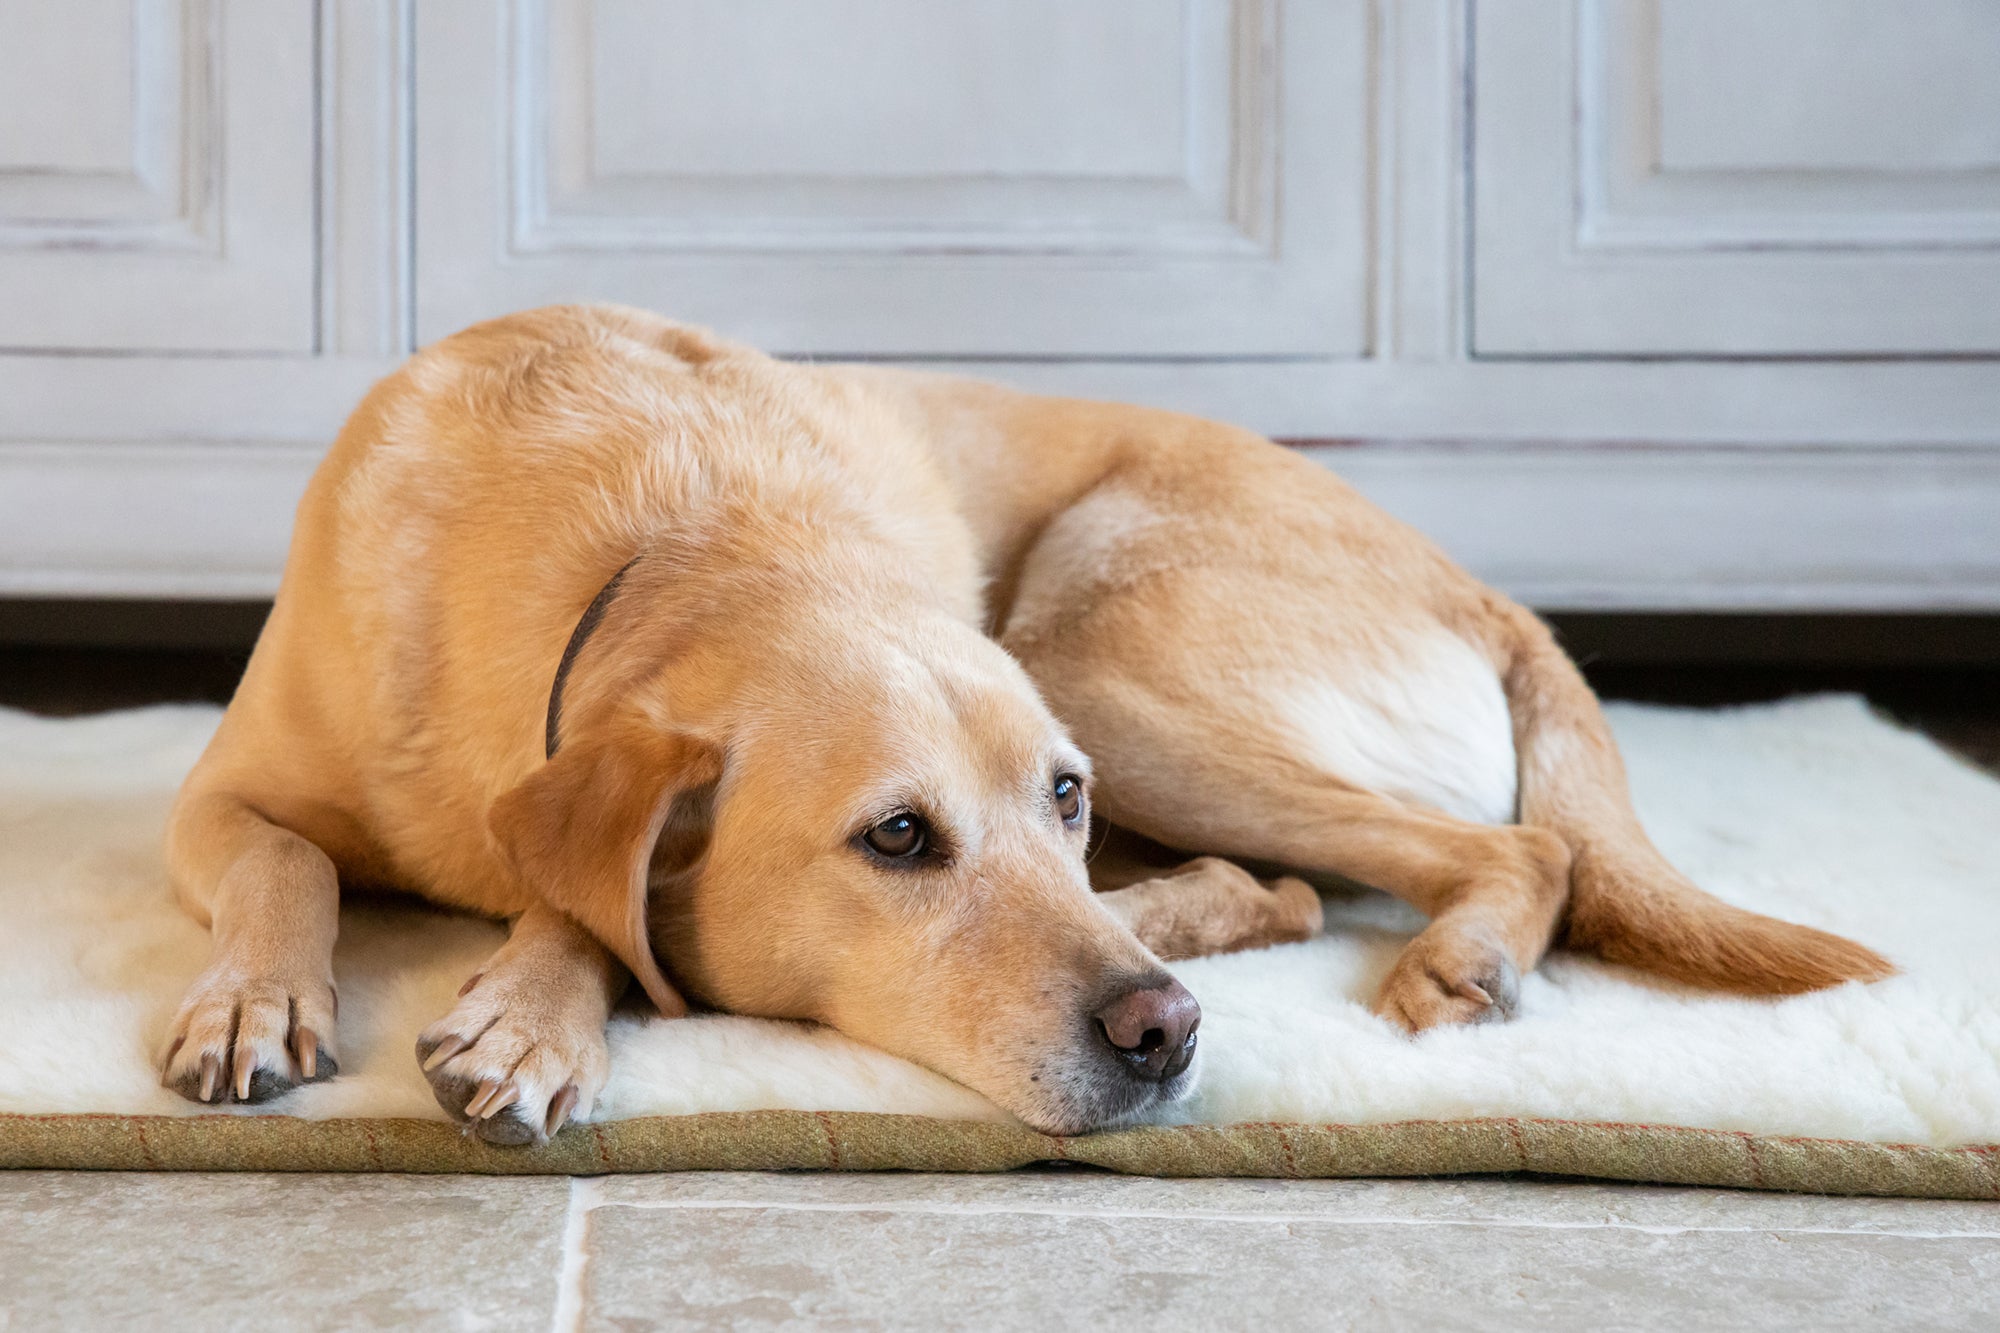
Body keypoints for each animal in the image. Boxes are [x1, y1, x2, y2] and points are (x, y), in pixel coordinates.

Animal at [160, 304, 1888, 1144]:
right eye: (897, 835)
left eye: (1061, 796)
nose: (1165, 1032)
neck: (674, 545)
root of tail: (1489, 590)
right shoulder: (217, 795)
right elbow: (289, 866)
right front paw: (252, 997)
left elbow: (582, 909)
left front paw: (531, 1006)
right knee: (1303, 884)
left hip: (1106, 642)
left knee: (1480, 855)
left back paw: (1434, 950)